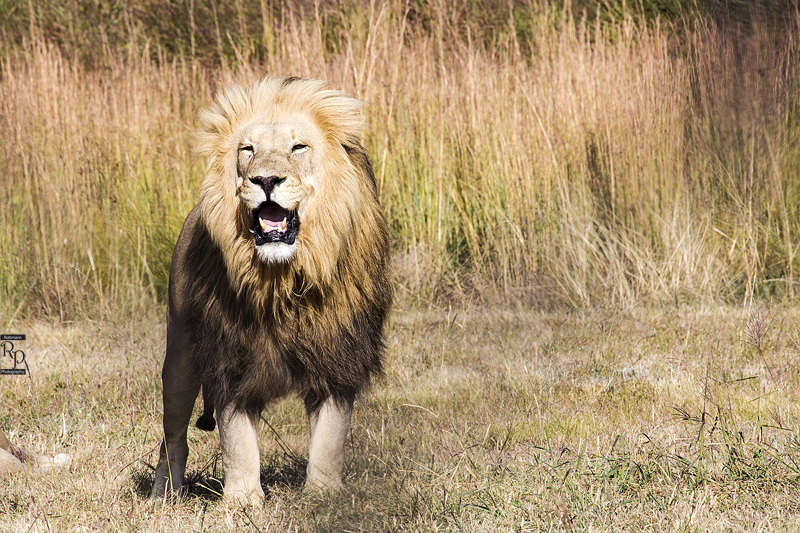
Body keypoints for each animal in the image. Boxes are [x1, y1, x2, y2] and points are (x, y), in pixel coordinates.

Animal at [152, 76, 392, 502]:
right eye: (247, 149)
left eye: (299, 148)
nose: (265, 180)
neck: (284, 281)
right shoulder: (230, 356)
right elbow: (237, 442)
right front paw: (243, 502)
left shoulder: (338, 358)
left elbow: (329, 440)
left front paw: (323, 498)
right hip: (179, 356)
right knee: (172, 436)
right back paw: (164, 495)